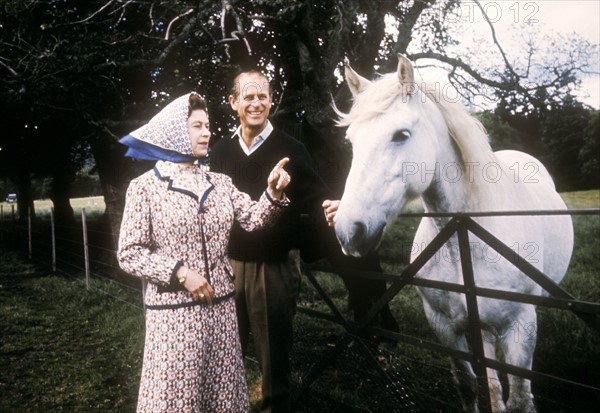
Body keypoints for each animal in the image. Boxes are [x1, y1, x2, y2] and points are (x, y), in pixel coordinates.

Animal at [336, 55, 576, 412]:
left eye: (401, 134)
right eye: (351, 141)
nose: (348, 230)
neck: (464, 237)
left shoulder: (520, 325)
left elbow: (519, 398)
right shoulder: (444, 326)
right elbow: (470, 386)